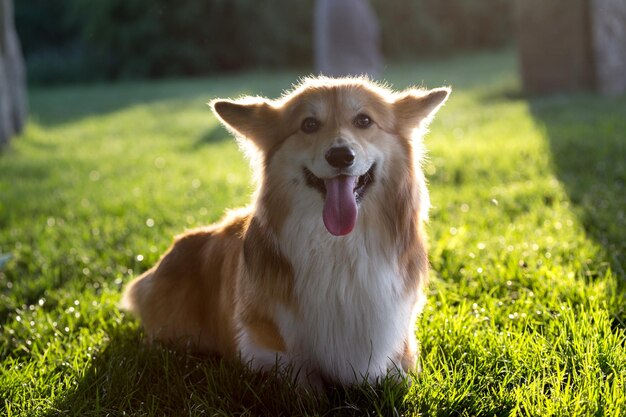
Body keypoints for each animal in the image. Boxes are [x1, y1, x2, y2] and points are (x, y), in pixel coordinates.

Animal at [119, 75, 446, 386]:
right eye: (309, 124)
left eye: (364, 120)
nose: (341, 156)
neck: (339, 246)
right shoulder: (260, 349)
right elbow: (304, 378)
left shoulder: (399, 344)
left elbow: (399, 376)